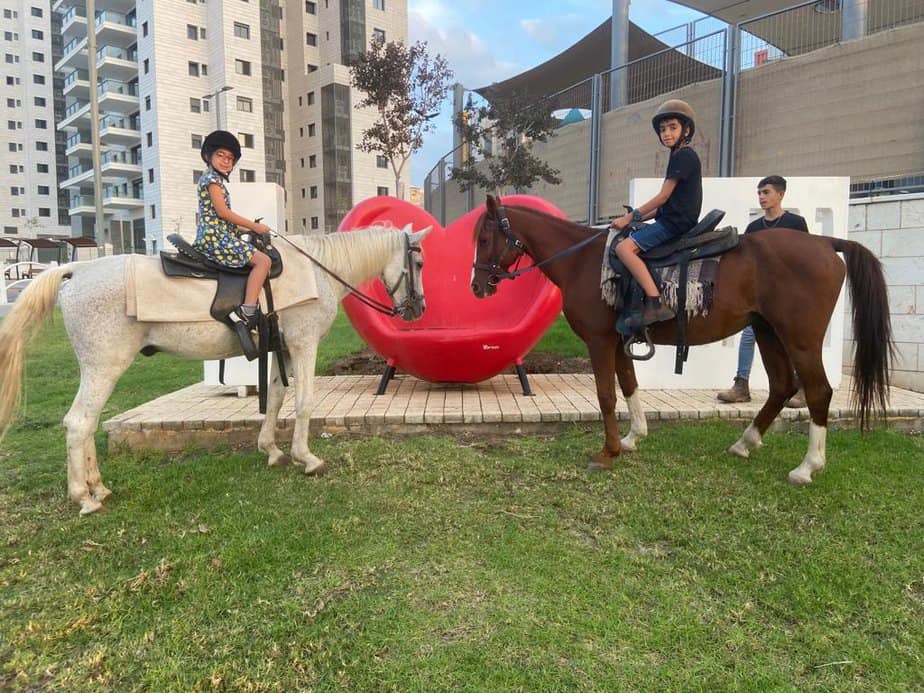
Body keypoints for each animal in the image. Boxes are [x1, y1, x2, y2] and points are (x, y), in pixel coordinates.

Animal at [0, 224, 434, 510]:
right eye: (419, 262)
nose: (418, 310)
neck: (317, 270)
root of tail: (77, 271)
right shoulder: (303, 344)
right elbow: (304, 402)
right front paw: (306, 458)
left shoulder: (280, 348)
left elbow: (277, 398)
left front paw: (272, 450)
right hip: (104, 366)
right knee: (79, 424)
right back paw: (84, 497)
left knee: (86, 425)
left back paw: (98, 487)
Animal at [472, 192, 892, 484]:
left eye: (485, 238)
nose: (477, 286)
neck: (584, 262)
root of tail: (824, 242)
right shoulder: (619, 340)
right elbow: (629, 385)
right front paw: (632, 438)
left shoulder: (599, 340)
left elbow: (606, 395)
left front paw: (608, 452)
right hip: (767, 331)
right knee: (781, 386)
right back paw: (745, 443)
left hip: (800, 338)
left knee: (818, 391)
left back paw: (807, 466)